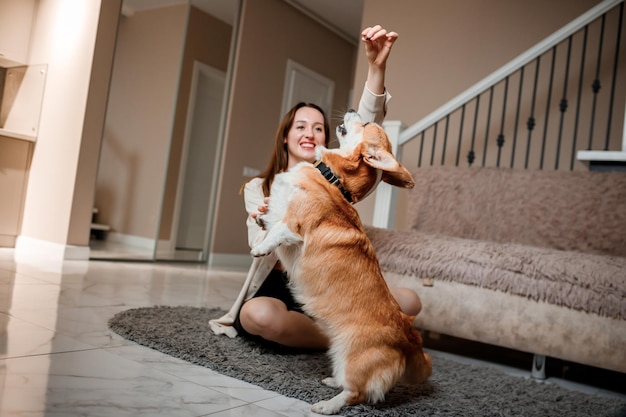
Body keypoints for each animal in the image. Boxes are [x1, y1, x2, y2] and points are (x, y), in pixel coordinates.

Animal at [249, 109, 428, 412]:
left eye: (366, 123)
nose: (356, 110)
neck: (332, 178)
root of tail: (409, 337)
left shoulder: (293, 224)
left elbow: (276, 231)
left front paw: (261, 248)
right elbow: (268, 218)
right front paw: (260, 221)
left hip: (352, 358)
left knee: (357, 393)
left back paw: (327, 405)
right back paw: (333, 382)